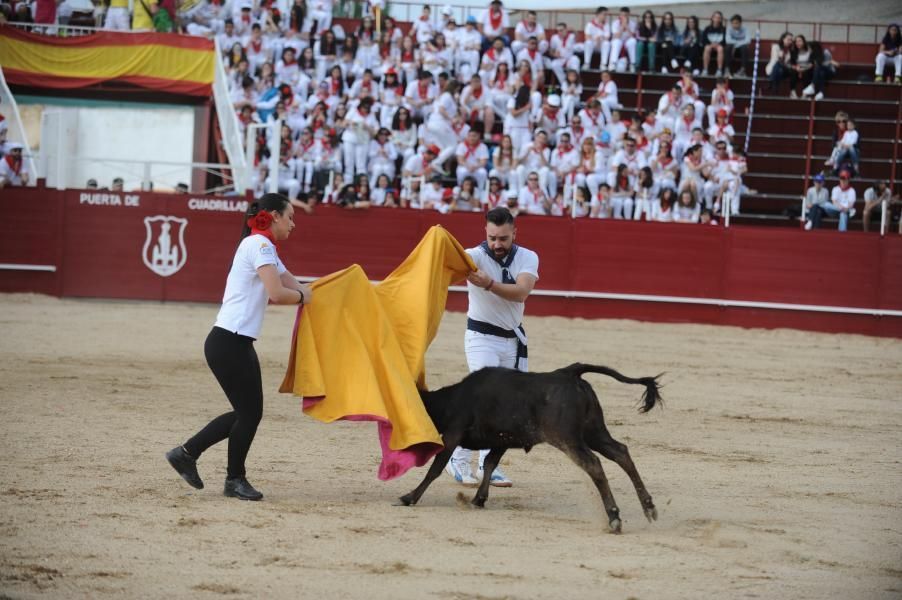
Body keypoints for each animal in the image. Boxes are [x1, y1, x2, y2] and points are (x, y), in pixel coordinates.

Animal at [400, 364, 664, 532]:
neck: (452, 399)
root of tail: (569, 372)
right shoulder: (501, 441)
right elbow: (489, 464)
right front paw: (478, 500)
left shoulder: (453, 434)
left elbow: (435, 468)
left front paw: (409, 497)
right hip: (594, 432)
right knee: (621, 452)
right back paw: (649, 507)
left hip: (567, 438)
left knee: (594, 464)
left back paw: (614, 517)